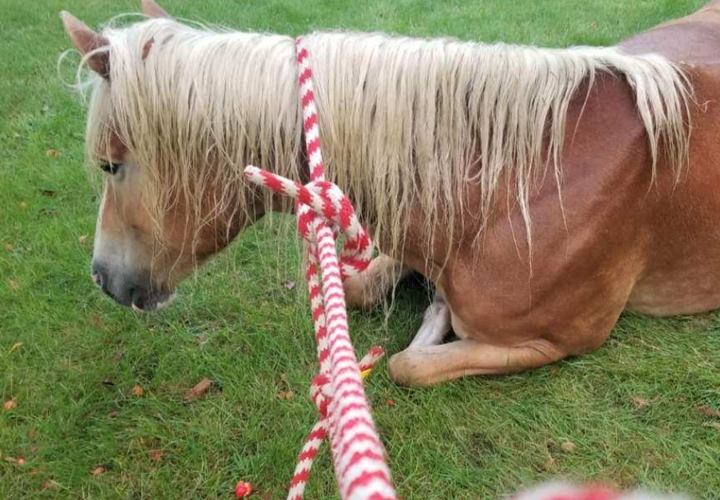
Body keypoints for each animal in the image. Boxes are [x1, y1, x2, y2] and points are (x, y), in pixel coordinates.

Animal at [61, 0, 720, 386]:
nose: (102, 278)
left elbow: (409, 365)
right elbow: (359, 291)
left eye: (111, 165)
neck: (519, 183)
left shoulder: (559, 340)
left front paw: (433, 318)